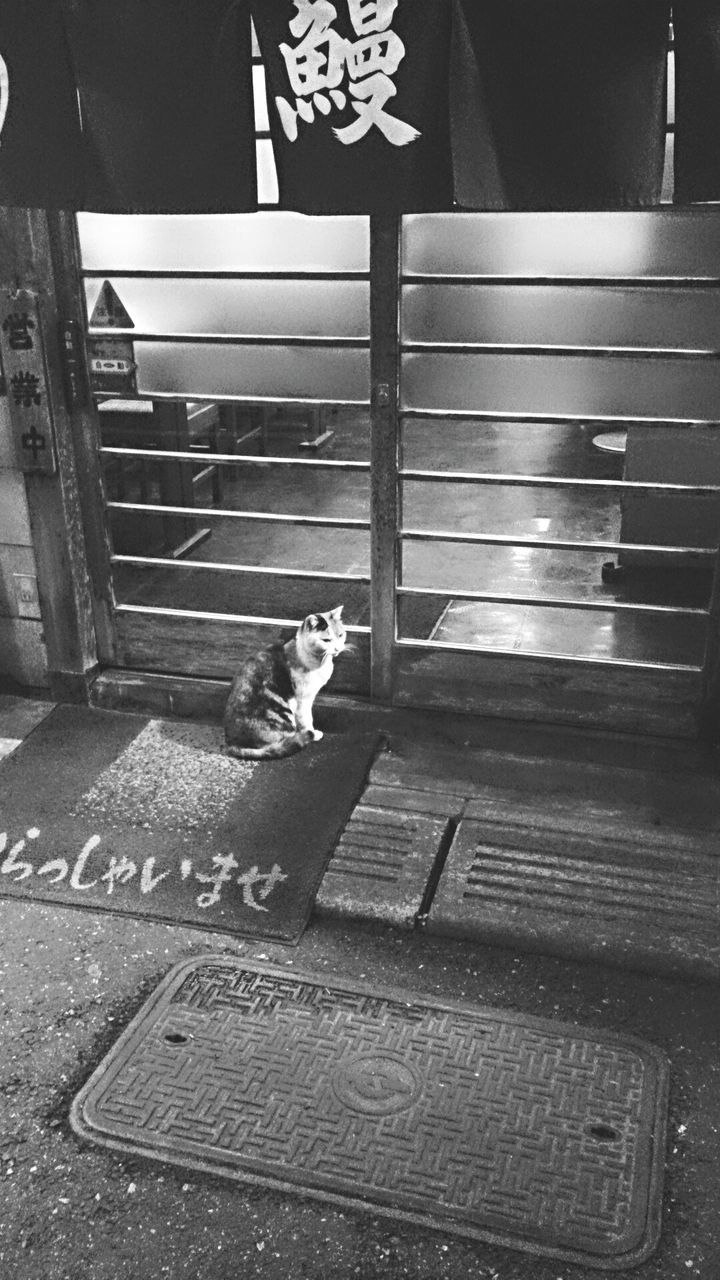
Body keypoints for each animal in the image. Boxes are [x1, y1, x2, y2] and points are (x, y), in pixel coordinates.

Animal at [224, 606, 348, 757]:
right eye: (326, 640)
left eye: (340, 635)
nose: (337, 648)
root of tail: (232, 744)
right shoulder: (303, 700)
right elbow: (307, 719)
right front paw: (313, 733)